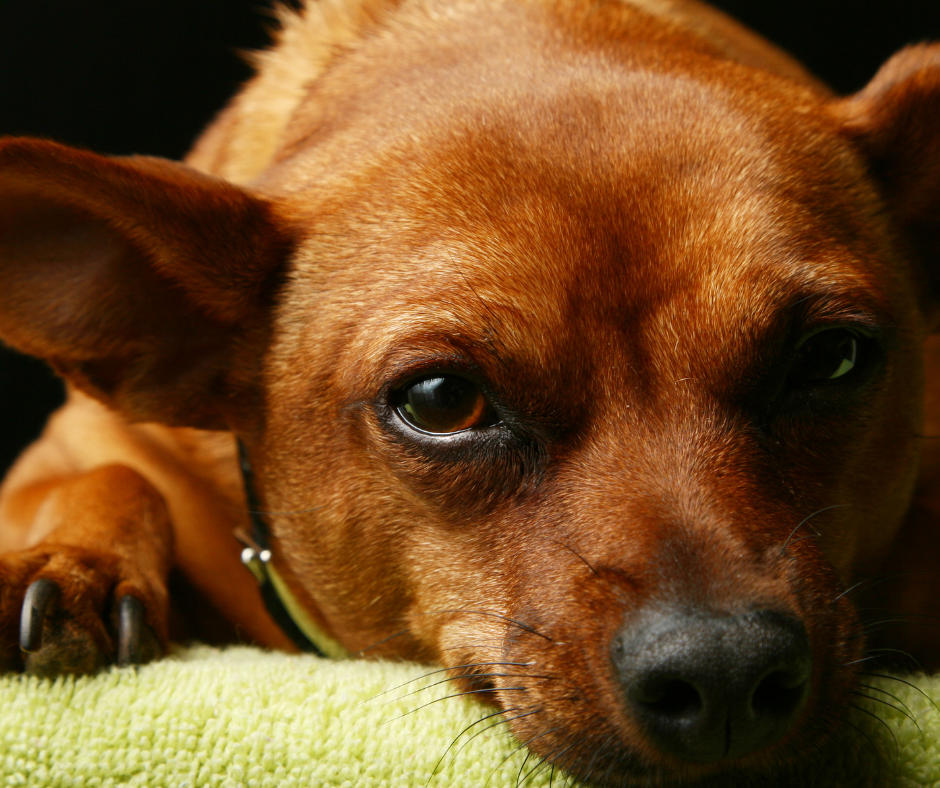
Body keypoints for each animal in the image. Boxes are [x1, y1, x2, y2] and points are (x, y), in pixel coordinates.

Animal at [1, 0, 939, 783]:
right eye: (441, 401)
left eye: (830, 359)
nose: (725, 673)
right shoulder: (79, 449)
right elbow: (109, 477)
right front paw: (62, 561)